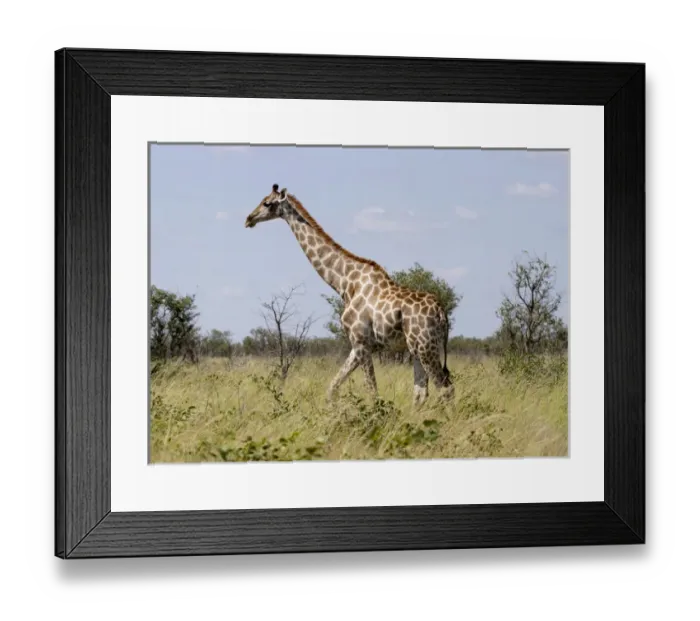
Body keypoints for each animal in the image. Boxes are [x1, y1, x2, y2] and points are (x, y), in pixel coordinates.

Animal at [245, 184, 455, 406]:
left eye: (267, 203)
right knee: (421, 392)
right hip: (416, 348)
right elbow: (332, 387)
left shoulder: (361, 341)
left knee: (445, 388)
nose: (249, 219)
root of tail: (442, 313)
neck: (345, 283)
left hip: (426, 346)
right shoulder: (356, 344)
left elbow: (372, 392)